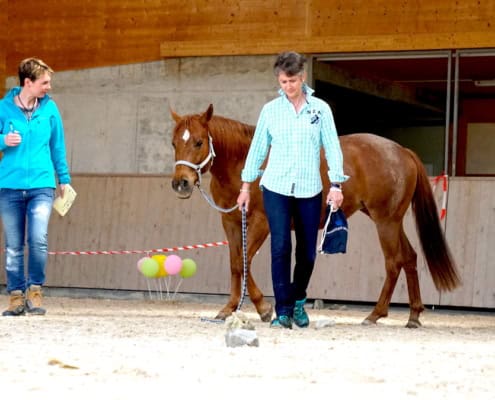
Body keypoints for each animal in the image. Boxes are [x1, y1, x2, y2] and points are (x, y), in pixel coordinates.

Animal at [171, 104, 462, 328]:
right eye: (174, 143)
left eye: (198, 142)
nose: (180, 183)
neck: (247, 162)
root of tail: (402, 151)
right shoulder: (231, 222)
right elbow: (235, 263)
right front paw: (229, 308)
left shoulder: (262, 223)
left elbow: (244, 261)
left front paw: (264, 308)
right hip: (391, 221)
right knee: (410, 258)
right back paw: (413, 315)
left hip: (386, 222)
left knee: (394, 262)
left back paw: (375, 314)